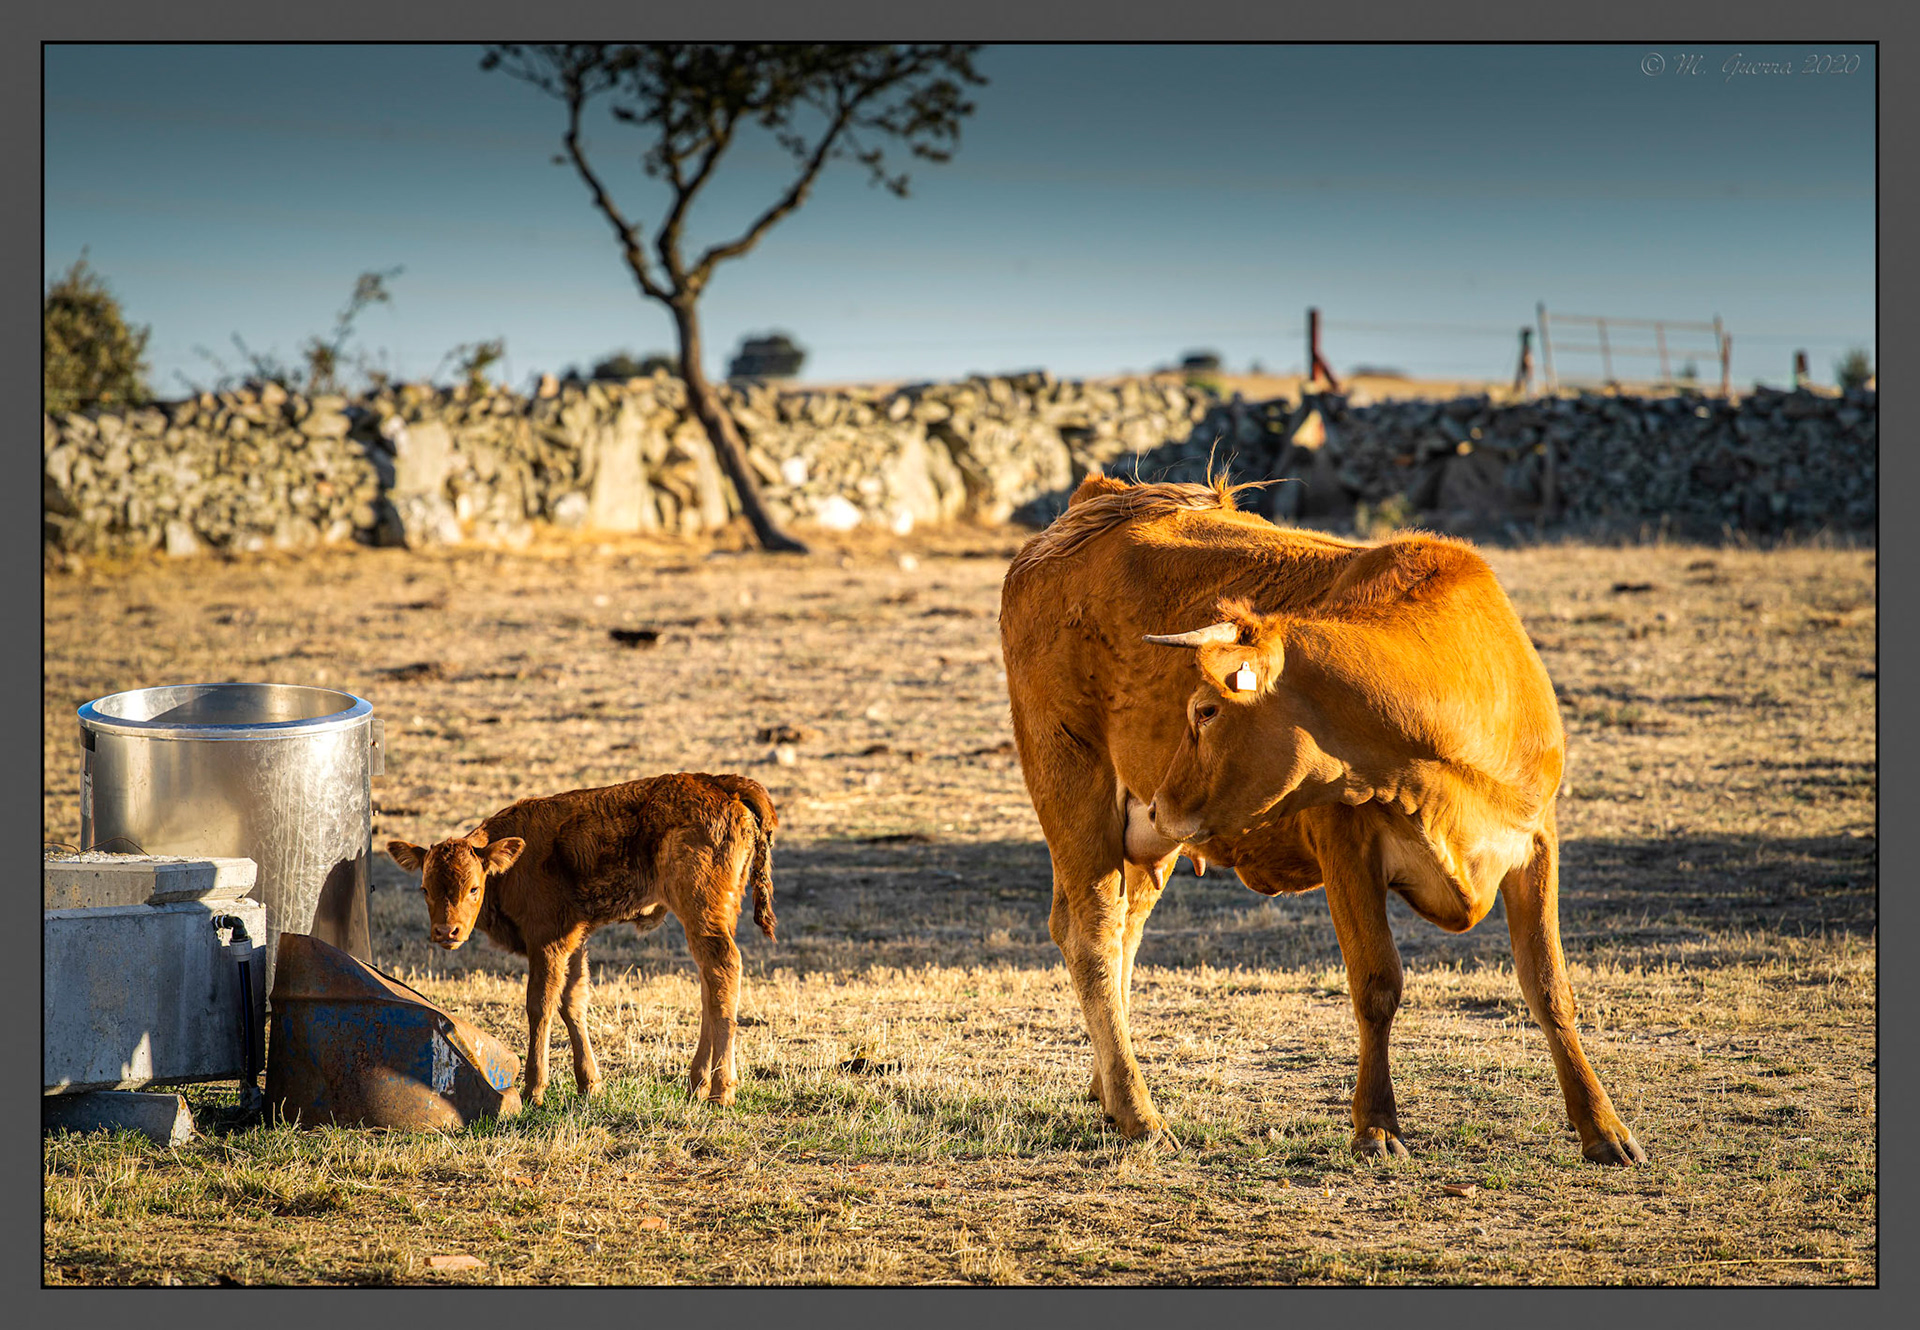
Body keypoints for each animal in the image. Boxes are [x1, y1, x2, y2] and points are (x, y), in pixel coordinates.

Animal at [386, 772, 777, 1109]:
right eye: (425, 888)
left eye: (473, 888)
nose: (446, 932)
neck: (516, 863)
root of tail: (720, 784)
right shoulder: (573, 940)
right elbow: (572, 1002)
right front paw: (590, 1084)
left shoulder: (547, 942)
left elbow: (540, 1005)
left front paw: (533, 1090)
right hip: (714, 915)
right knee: (710, 984)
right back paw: (698, 1083)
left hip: (701, 911)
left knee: (724, 969)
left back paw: (721, 1091)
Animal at [999, 472, 1644, 1165]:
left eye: (1205, 709)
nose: (1162, 803)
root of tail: (1100, 499)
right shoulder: (1346, 842)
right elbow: (1376, 982)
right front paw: (1377, 1125)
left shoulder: (1537, 840)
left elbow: (1549, 986)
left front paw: (1603, 1127)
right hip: (1073, 783)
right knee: (1092, 936)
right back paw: (1139, 1113)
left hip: (1144, 844)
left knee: (1125, 930)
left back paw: (1107, 1093)